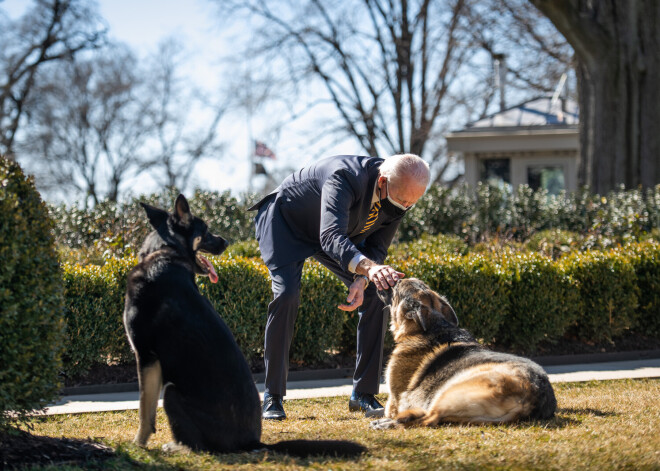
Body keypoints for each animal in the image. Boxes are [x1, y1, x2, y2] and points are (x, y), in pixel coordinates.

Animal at [124, 195, 366, 458]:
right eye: (205, 230)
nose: (226, 242)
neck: (165, 251)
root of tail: (252, 442)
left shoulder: (146, 356)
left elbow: (144, 410)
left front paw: (138, 444)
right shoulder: (150, 359)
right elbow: (147, 411)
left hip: (171, 393)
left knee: (200, 446)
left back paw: (177, 447)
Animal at [372, 280, 556, 432]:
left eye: (396, 286)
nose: (386, 280)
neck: (433, 325)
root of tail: (533, 397)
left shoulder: (394, 400)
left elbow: (390, 408)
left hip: (448, 392)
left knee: (429, 419)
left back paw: (388, 424)